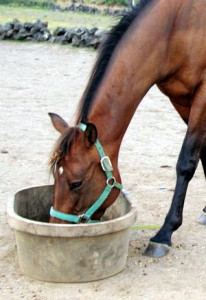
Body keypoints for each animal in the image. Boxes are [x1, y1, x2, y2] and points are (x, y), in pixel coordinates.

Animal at [48, 0, 206, 258]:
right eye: (55, 176)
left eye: (76, 183)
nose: (56, 229)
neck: (177, 25)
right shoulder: (180, 97)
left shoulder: (202, 95)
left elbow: (186, 162)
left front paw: (164, 233)